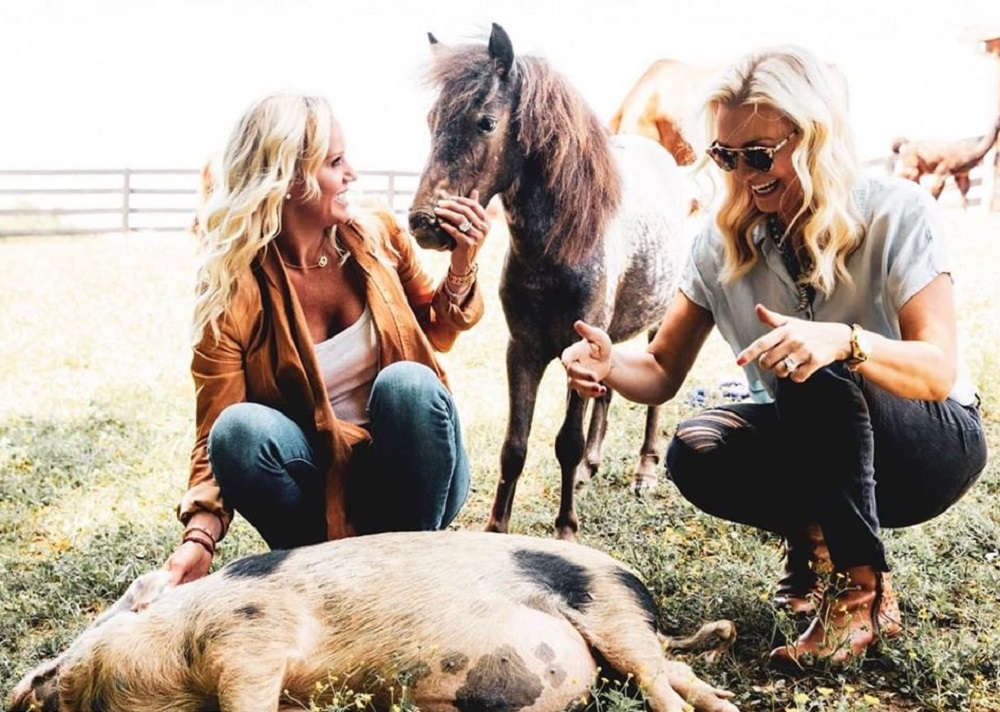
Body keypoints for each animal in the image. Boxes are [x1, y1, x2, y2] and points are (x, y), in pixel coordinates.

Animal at [408, 26, 688, 540]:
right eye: (432, 118)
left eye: (486, 122)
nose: (424, 223)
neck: (560, 248)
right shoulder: (524, 350)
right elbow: (515, 445)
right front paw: (496, 531)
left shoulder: (578, 350)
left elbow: (565, 442)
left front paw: (566, 532)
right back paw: (591, 469)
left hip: (662, 321)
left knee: (655, 399)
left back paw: (644, 471)